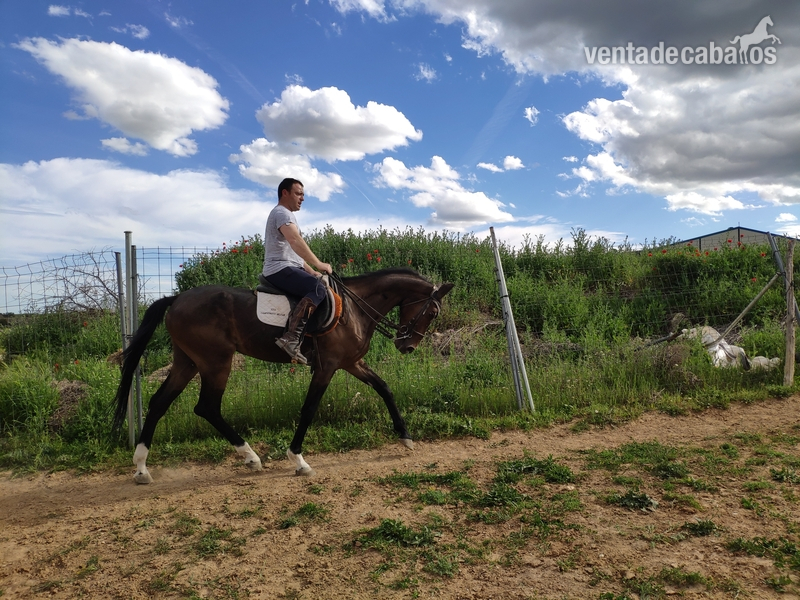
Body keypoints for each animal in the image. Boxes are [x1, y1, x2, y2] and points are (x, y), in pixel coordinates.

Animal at [112, 268, 453, 484]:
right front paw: (299, 460)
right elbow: (309, 409)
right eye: (432, 312)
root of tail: (177, 298)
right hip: (215, 362)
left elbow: (384, 388)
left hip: (188, 362)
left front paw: (405, 437)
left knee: (160, 402)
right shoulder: (328, 367)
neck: (354, 309)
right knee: (207, 407)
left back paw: (141, 468)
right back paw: (251, 457)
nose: (407, 345)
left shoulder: (351, 362)